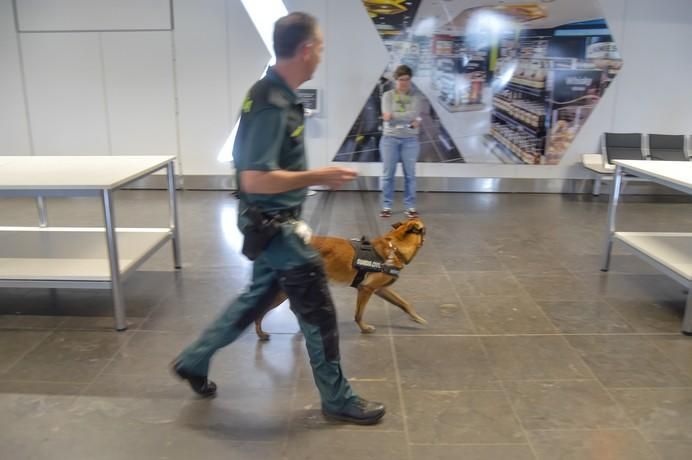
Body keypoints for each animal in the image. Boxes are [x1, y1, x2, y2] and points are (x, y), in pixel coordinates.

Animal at [254, 217, 428, 340]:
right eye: (423, 230)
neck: (395, 247)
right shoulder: (365, 290)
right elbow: (358, 314)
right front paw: (364, 328)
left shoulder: (379, 289)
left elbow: (404, 304)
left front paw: (417, 318)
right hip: (282, 293)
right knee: (261, 311)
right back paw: (261, 334)